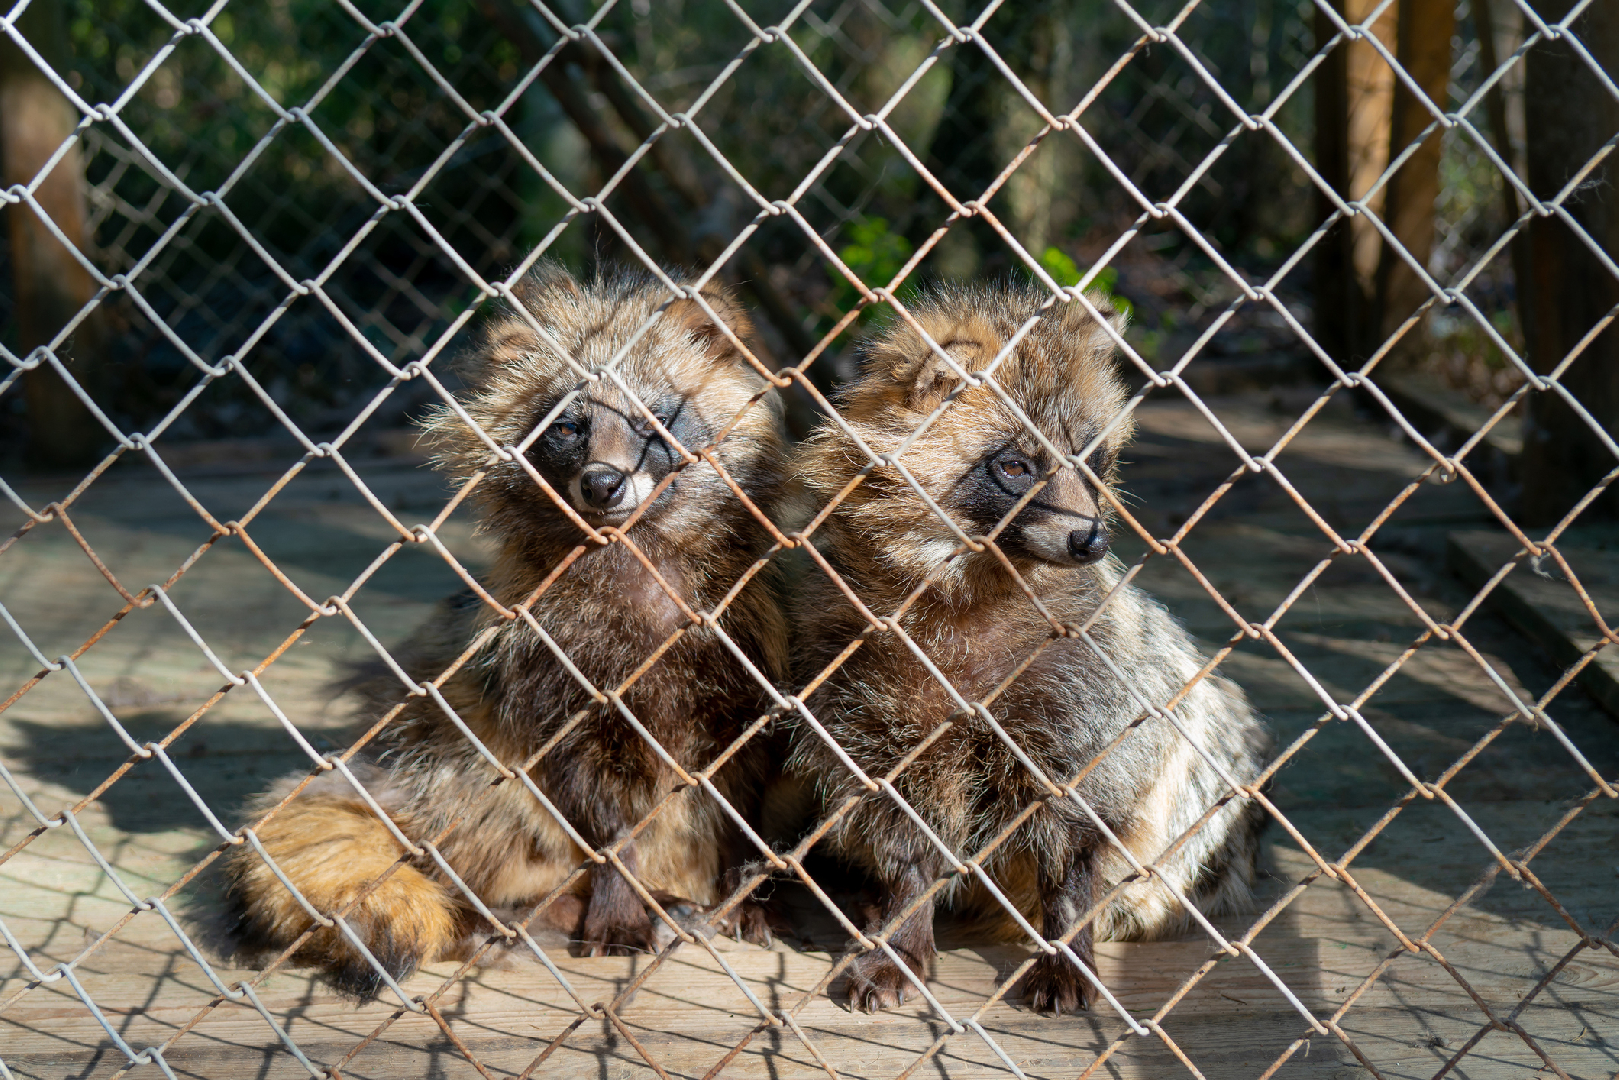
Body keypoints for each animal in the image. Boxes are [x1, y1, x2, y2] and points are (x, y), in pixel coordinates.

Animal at [223, 262, 790, 997]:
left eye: (651, 419)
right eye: (567, 426)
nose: (602, 484)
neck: (629, 557)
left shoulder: (740, 680)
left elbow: (738, 797)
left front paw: (744, 883)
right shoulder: (554, 683)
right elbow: (604, 823)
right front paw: (618, 902)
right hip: (448, 756)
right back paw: (524, 911)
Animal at [786, 278, 1275, 1016]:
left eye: (1092, 461)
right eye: (1015, 465)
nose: (1091, 541)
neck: (975, 584)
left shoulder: (1086, 699)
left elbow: (1074, 839)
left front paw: (1065, 939)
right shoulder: (867, 702)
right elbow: (902, 836)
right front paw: (901, 925)